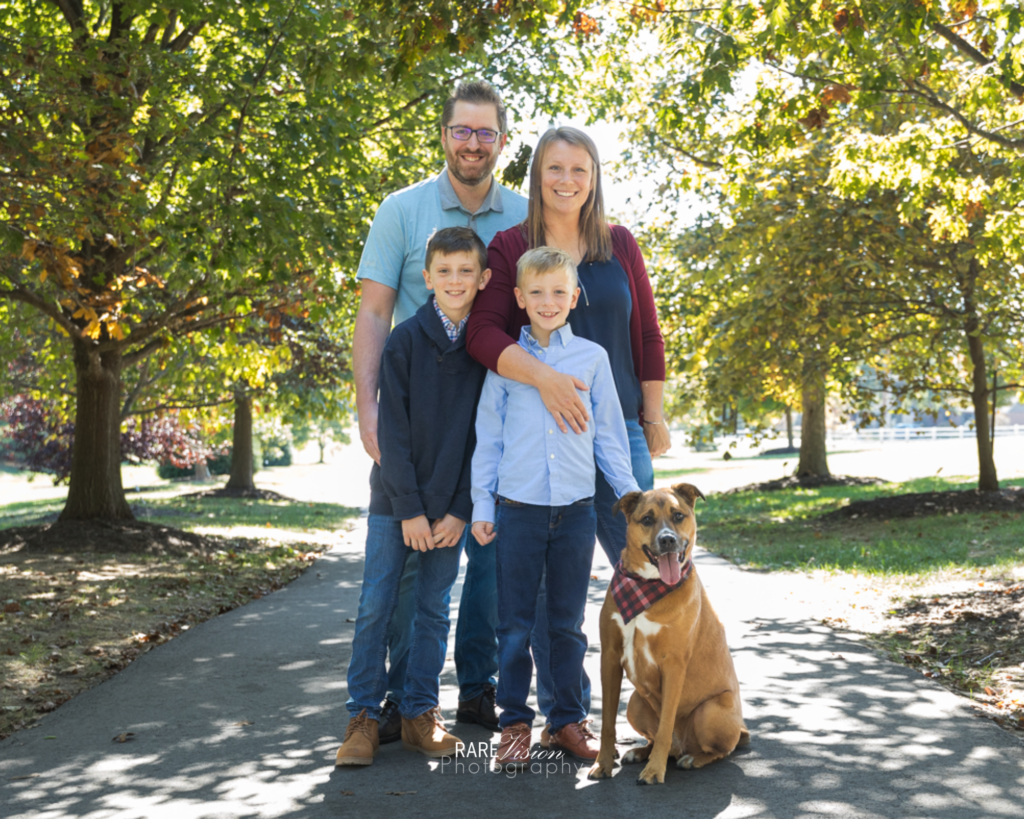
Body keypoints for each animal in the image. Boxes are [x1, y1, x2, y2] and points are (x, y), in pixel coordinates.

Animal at [589, 483, 749, 782]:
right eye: (647, 519)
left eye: (678, 516)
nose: (667, 541)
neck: (649, 586)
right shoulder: (610, 657)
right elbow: (607, 723)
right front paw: (602, 764)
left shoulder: (673, 664)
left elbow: (665, 725)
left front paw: (654, 771)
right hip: (636, 702)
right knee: (657, 738)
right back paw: (640, 751)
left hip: (709, 711)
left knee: (719, 750)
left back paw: (693, 759)